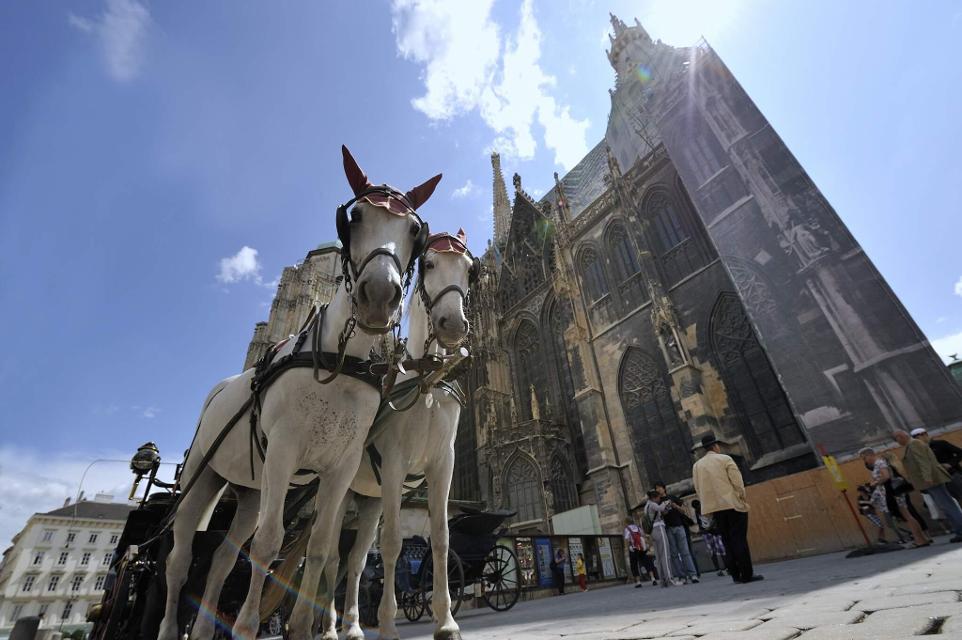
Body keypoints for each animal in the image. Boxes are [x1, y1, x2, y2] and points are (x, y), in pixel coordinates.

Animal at [156, 146, 441, 640]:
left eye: (414, 230)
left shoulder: (340, 467)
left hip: (252, 488)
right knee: (181, 557)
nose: (378, 297)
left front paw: (306, 626)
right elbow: (270, 546)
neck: (338, 364)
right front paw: (251, 625)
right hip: (203, 477)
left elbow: (321, 549)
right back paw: (175, 628)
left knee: (221, 558)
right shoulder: (285, 450)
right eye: (353, 217)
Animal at [311, 230, 477, 640]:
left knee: (355, 560)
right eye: (429, 264)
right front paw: (388, 623)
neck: (426, 380)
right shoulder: (393, 467)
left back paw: (353, 626)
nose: (453, 324)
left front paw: (446, 621)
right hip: (342, 492)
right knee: (332, 556)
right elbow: (391, 545)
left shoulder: (443, 465)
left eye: (470, 269)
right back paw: (329, 627)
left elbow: (441, 538)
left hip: (369, 500)